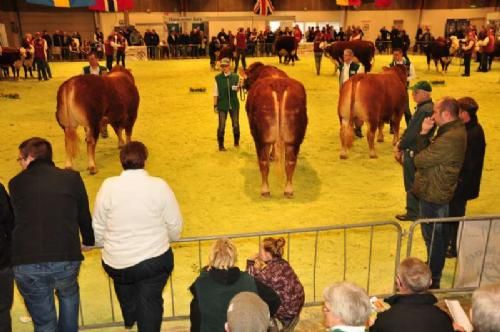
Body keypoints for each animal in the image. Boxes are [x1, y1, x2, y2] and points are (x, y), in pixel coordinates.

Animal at [243, 62, 308, 197]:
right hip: (294, 137)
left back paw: (265, 190)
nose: (244, 85)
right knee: (290, 162)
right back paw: (288, 190)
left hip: (261, 137)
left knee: (263, 162)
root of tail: (278, 85)